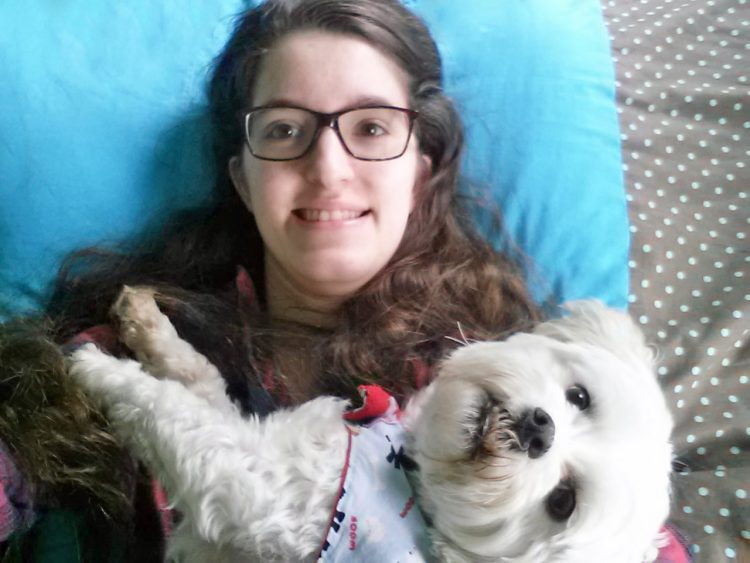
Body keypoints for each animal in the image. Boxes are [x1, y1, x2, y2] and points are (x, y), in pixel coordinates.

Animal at [67, 288, 676, 560]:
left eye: (562, 502)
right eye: (580, 396)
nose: (540, 431)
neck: (407, 468)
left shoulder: (262, 492)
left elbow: (171, 410)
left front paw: (95, 369)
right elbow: (198, 380)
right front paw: (147, 327)